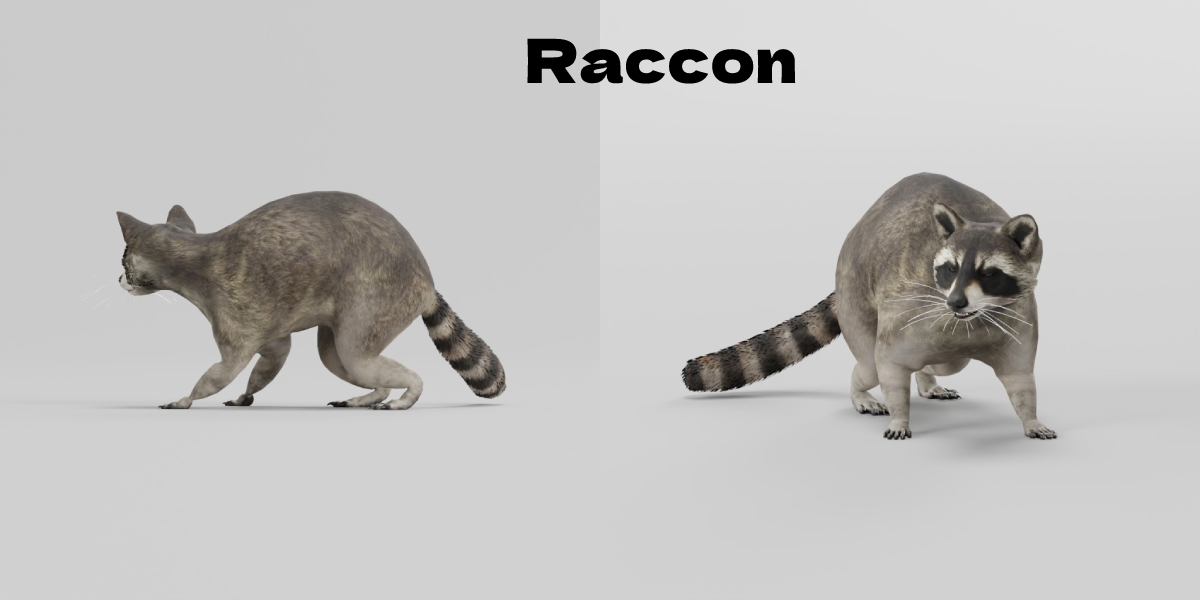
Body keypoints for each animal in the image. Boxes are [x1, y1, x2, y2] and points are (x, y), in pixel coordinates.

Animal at [116, 192, 505, 409]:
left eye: (123, 262)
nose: (119, 280)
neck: (191, 254)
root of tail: (425, 280)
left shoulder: (232, 301)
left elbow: (225, 369)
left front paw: (189, 397)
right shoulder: (266, 322)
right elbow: (274, 357)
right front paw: (247, 393)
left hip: (377, 295)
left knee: (356, 355)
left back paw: (409, 390)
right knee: (337, 357)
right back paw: (375, 392)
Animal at [682, 173, 1053, 440]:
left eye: (989, 273)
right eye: (950, 269)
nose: (955, 301)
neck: (974, 319)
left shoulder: (1020, 320)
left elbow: (1019, 379)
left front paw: (1031, 417)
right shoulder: (910, 312)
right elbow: (889, 365)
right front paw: (900, 417)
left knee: (947, 362)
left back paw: (927, 378)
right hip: (856, 294)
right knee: (869, 364)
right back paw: (860, 390)